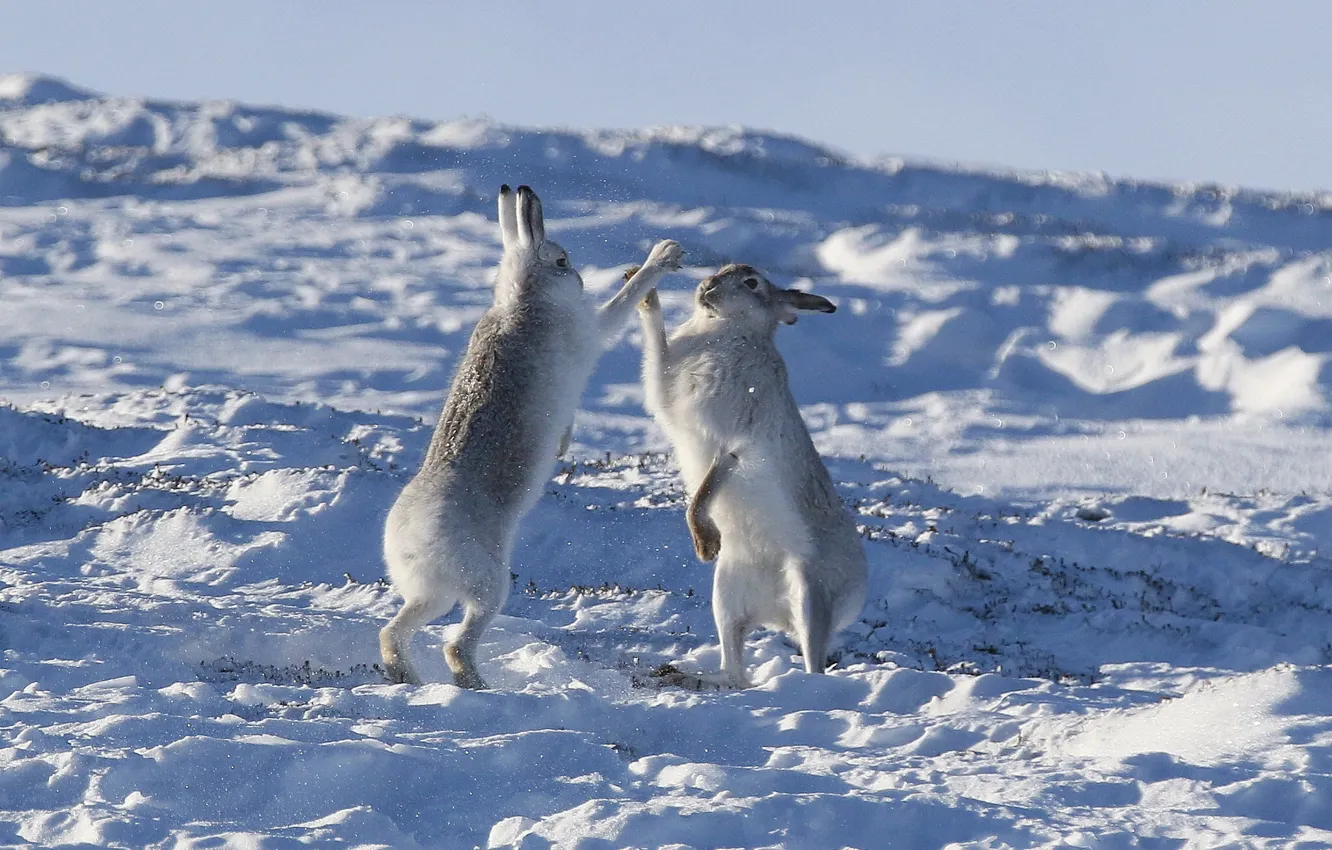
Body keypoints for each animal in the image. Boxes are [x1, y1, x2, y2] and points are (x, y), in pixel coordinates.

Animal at [379, 184, 683, 688]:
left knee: (395, 630)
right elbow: (622, 301)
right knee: (456, 643)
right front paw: (663, 255)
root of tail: (407, 540)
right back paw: (477, 685)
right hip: (487, 581)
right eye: (560, 260)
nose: (578, 278)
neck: (525, 297)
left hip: (434, 593)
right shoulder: (591, 329)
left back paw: (408, 678)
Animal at [636, 263, 867, 687]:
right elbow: (655, 344)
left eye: (751, 283)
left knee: (812, 656)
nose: (706, 288)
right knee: (735, 667)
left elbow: (706, 489)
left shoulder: (734, 443)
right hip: (727, 593)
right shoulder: (666, 383)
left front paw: (705, 543)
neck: (728, 329)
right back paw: (693, 678)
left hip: (811, 595)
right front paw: (646, 292)